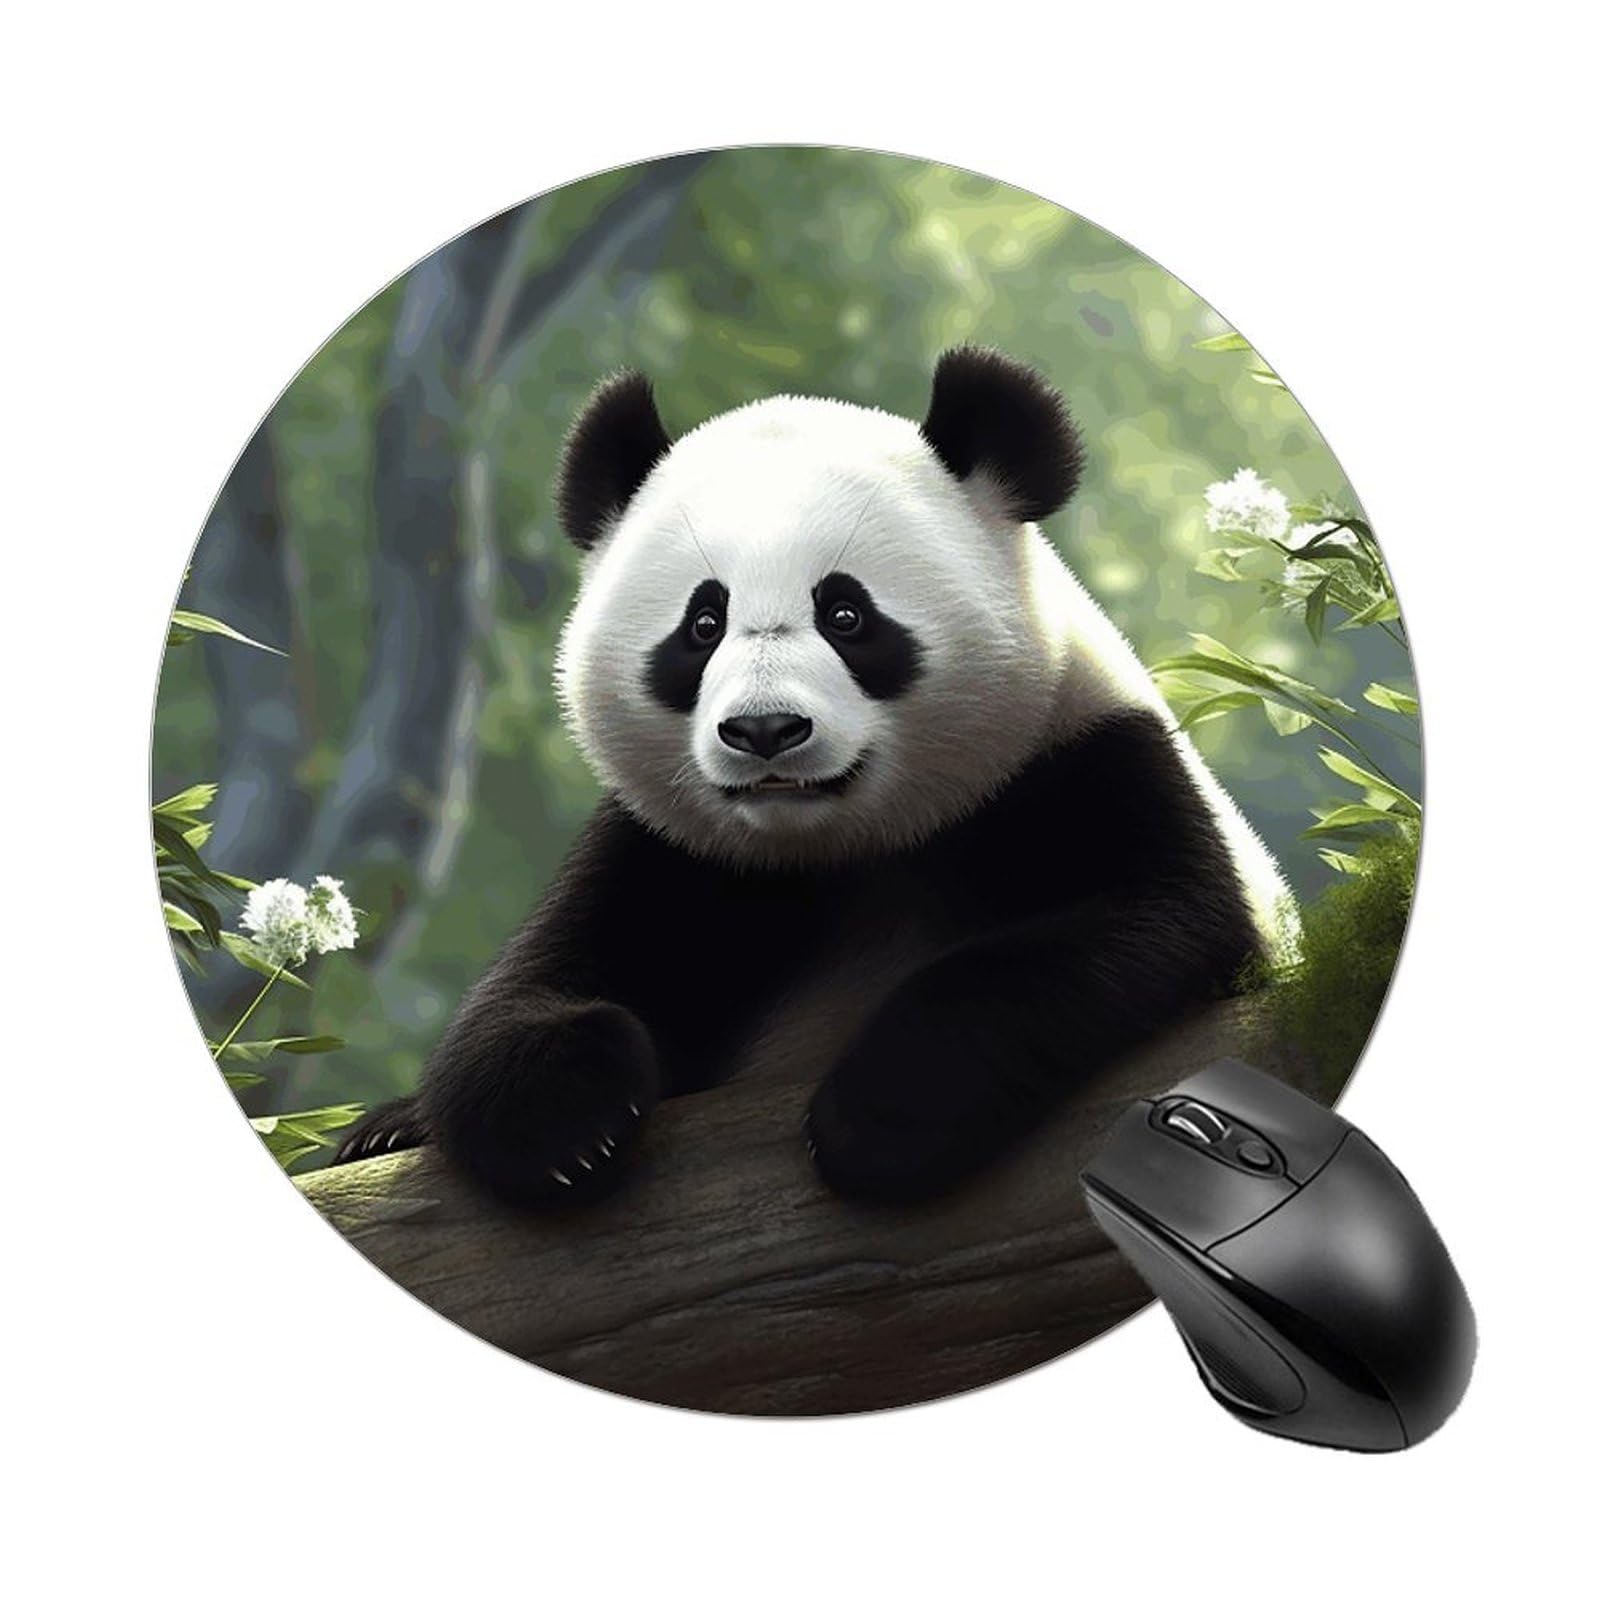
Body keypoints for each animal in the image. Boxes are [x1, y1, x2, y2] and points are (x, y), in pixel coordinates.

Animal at [335, 348, 1294, 1205]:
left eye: (846, 613)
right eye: (703, 623)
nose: (765, 731)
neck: (849, 848)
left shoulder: (1085, 763)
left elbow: (1145, 920)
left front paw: (884, 1115)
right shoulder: (675, 852)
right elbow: (533, 988)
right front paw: (563, 1122)